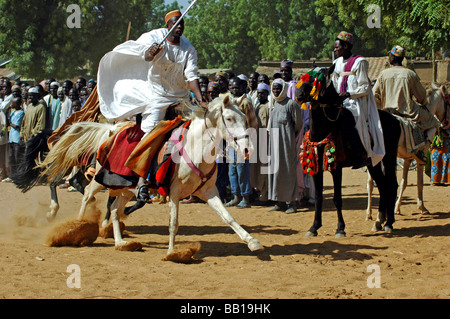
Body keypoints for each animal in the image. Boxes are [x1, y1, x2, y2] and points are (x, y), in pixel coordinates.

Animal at [40, 96, 264, 256]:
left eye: (245, 118)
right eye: (229, 118)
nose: (247, 149)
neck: (195, 147)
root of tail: (110, 129)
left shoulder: (208, 191)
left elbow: (228, 218)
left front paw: (253, 242)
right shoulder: (174, 192)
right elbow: (173, 222)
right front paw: (172, 252)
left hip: (126, 189)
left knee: (115, 209)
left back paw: (120, 242)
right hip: (101, 179)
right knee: (87, 194)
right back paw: (77, 226)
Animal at [368, 84, 444, 225]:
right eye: (447, 100)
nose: (444, 123)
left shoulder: (408, 159)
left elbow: (403, 183)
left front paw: (397, 208)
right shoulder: (420, 159)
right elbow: (419, 182)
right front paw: (422, 207)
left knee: (370, 183)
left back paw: (369, 214)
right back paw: (380, 218)